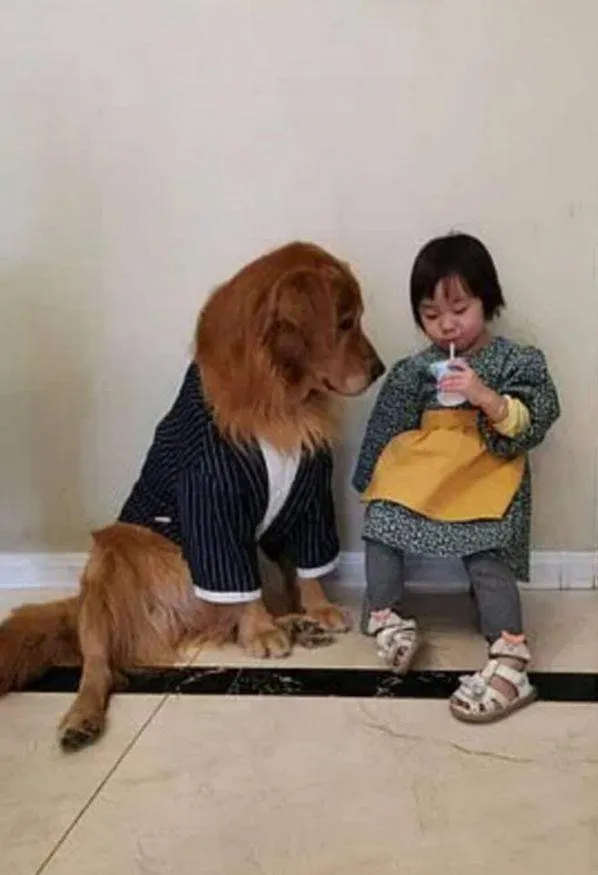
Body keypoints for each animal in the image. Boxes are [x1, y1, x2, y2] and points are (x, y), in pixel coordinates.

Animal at [0, 240, 384, 751]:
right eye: (344, 322)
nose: (379, 369)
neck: (278, 394)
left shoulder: (309, 495)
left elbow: (307, 566)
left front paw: (317, 608)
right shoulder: (213, 499)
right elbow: (238, 581)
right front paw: (263, 630)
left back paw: (295, 623)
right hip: (111, 555)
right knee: (100, 666)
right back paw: (82, 717)